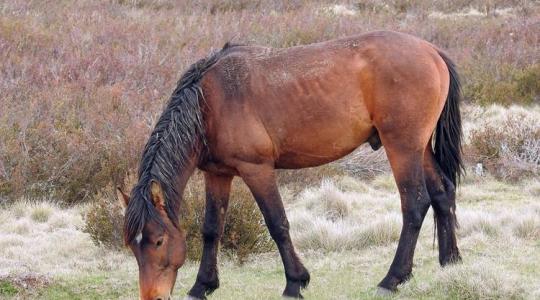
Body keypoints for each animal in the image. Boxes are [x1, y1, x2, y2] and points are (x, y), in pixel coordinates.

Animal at [118, 31, 464, 300]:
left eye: (158, 241)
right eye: (132, 246)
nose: (153, 296)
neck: (209, 103)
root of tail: (432, 51)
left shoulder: (257, 170)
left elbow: (277, 224)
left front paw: (295, 283)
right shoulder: (217, 175)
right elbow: (211, 229)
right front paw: (202, 286)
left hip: (402, 148)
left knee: (415, 204)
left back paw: (392, 279)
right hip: (419, 149)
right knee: (442, 194)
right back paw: (450, 263)